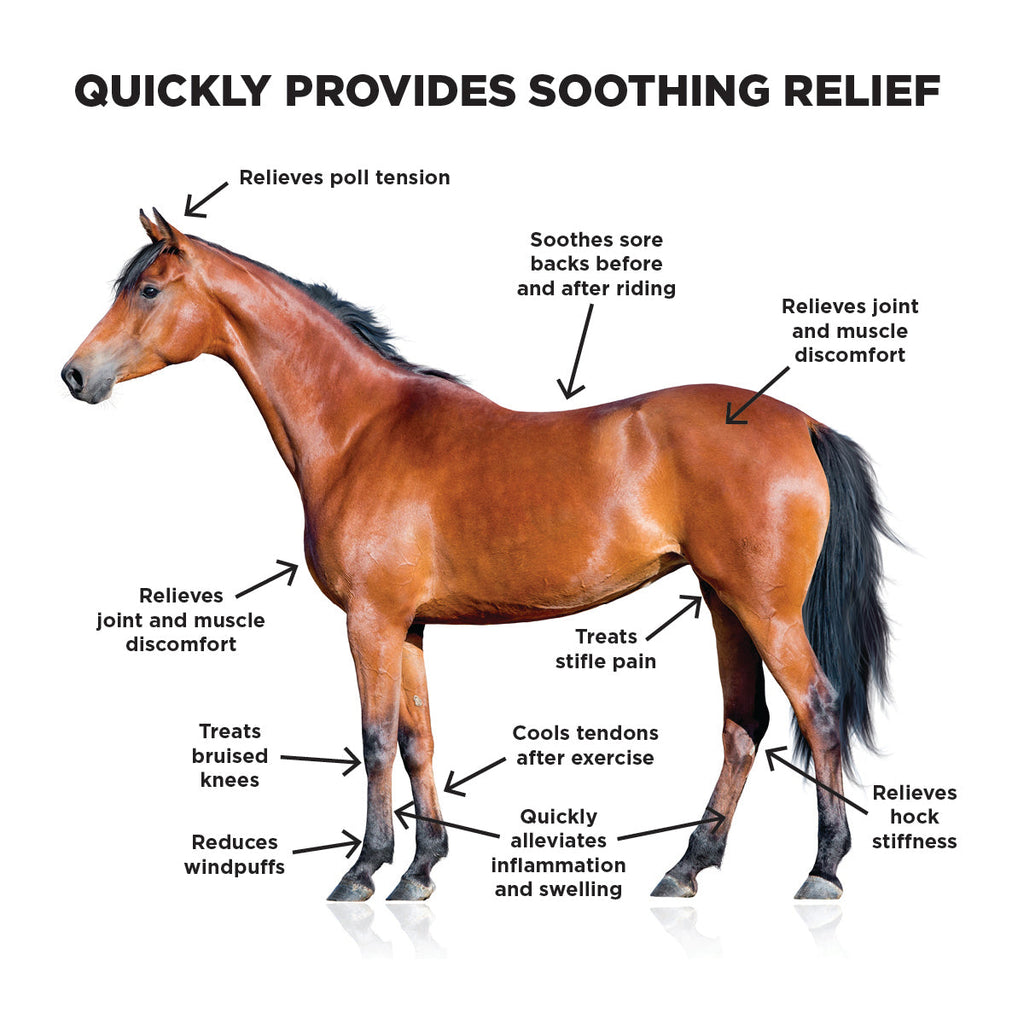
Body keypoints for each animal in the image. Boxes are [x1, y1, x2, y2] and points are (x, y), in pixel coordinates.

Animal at [62, 210, 894, 902]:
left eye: (148, 288)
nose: (75, 374)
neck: (361, 429)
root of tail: (803, 422)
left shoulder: (370, 619)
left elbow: (374, 738)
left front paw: (364, 870)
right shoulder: (407, 624)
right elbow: (418, 740)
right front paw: (420, 869)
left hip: (764, 607)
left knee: (817, 708)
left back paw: (822, 869)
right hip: (725, 601)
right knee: (743, 723)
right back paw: (686, 866)